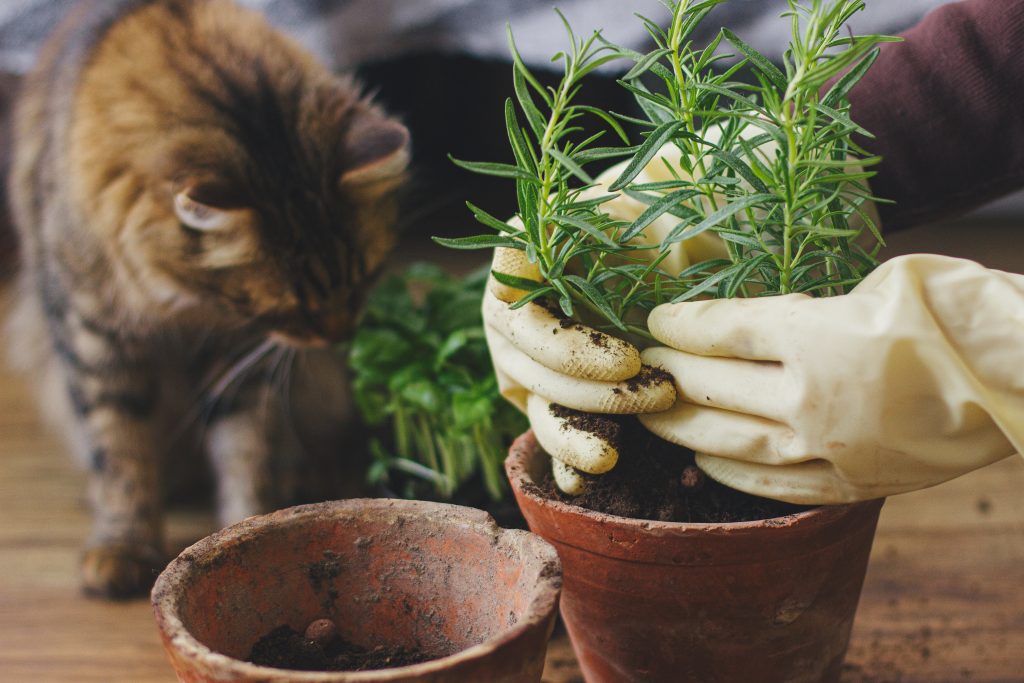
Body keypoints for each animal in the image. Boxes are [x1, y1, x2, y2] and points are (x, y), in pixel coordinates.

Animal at [6, 0, 411, 598]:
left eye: (364, 278)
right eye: (289, 307)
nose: (337, 335)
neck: (187, 304)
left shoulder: (236, 354)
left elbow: (243, 449)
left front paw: (248, 522)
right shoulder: (95, 336)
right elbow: (120, 449)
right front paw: (122, 545)